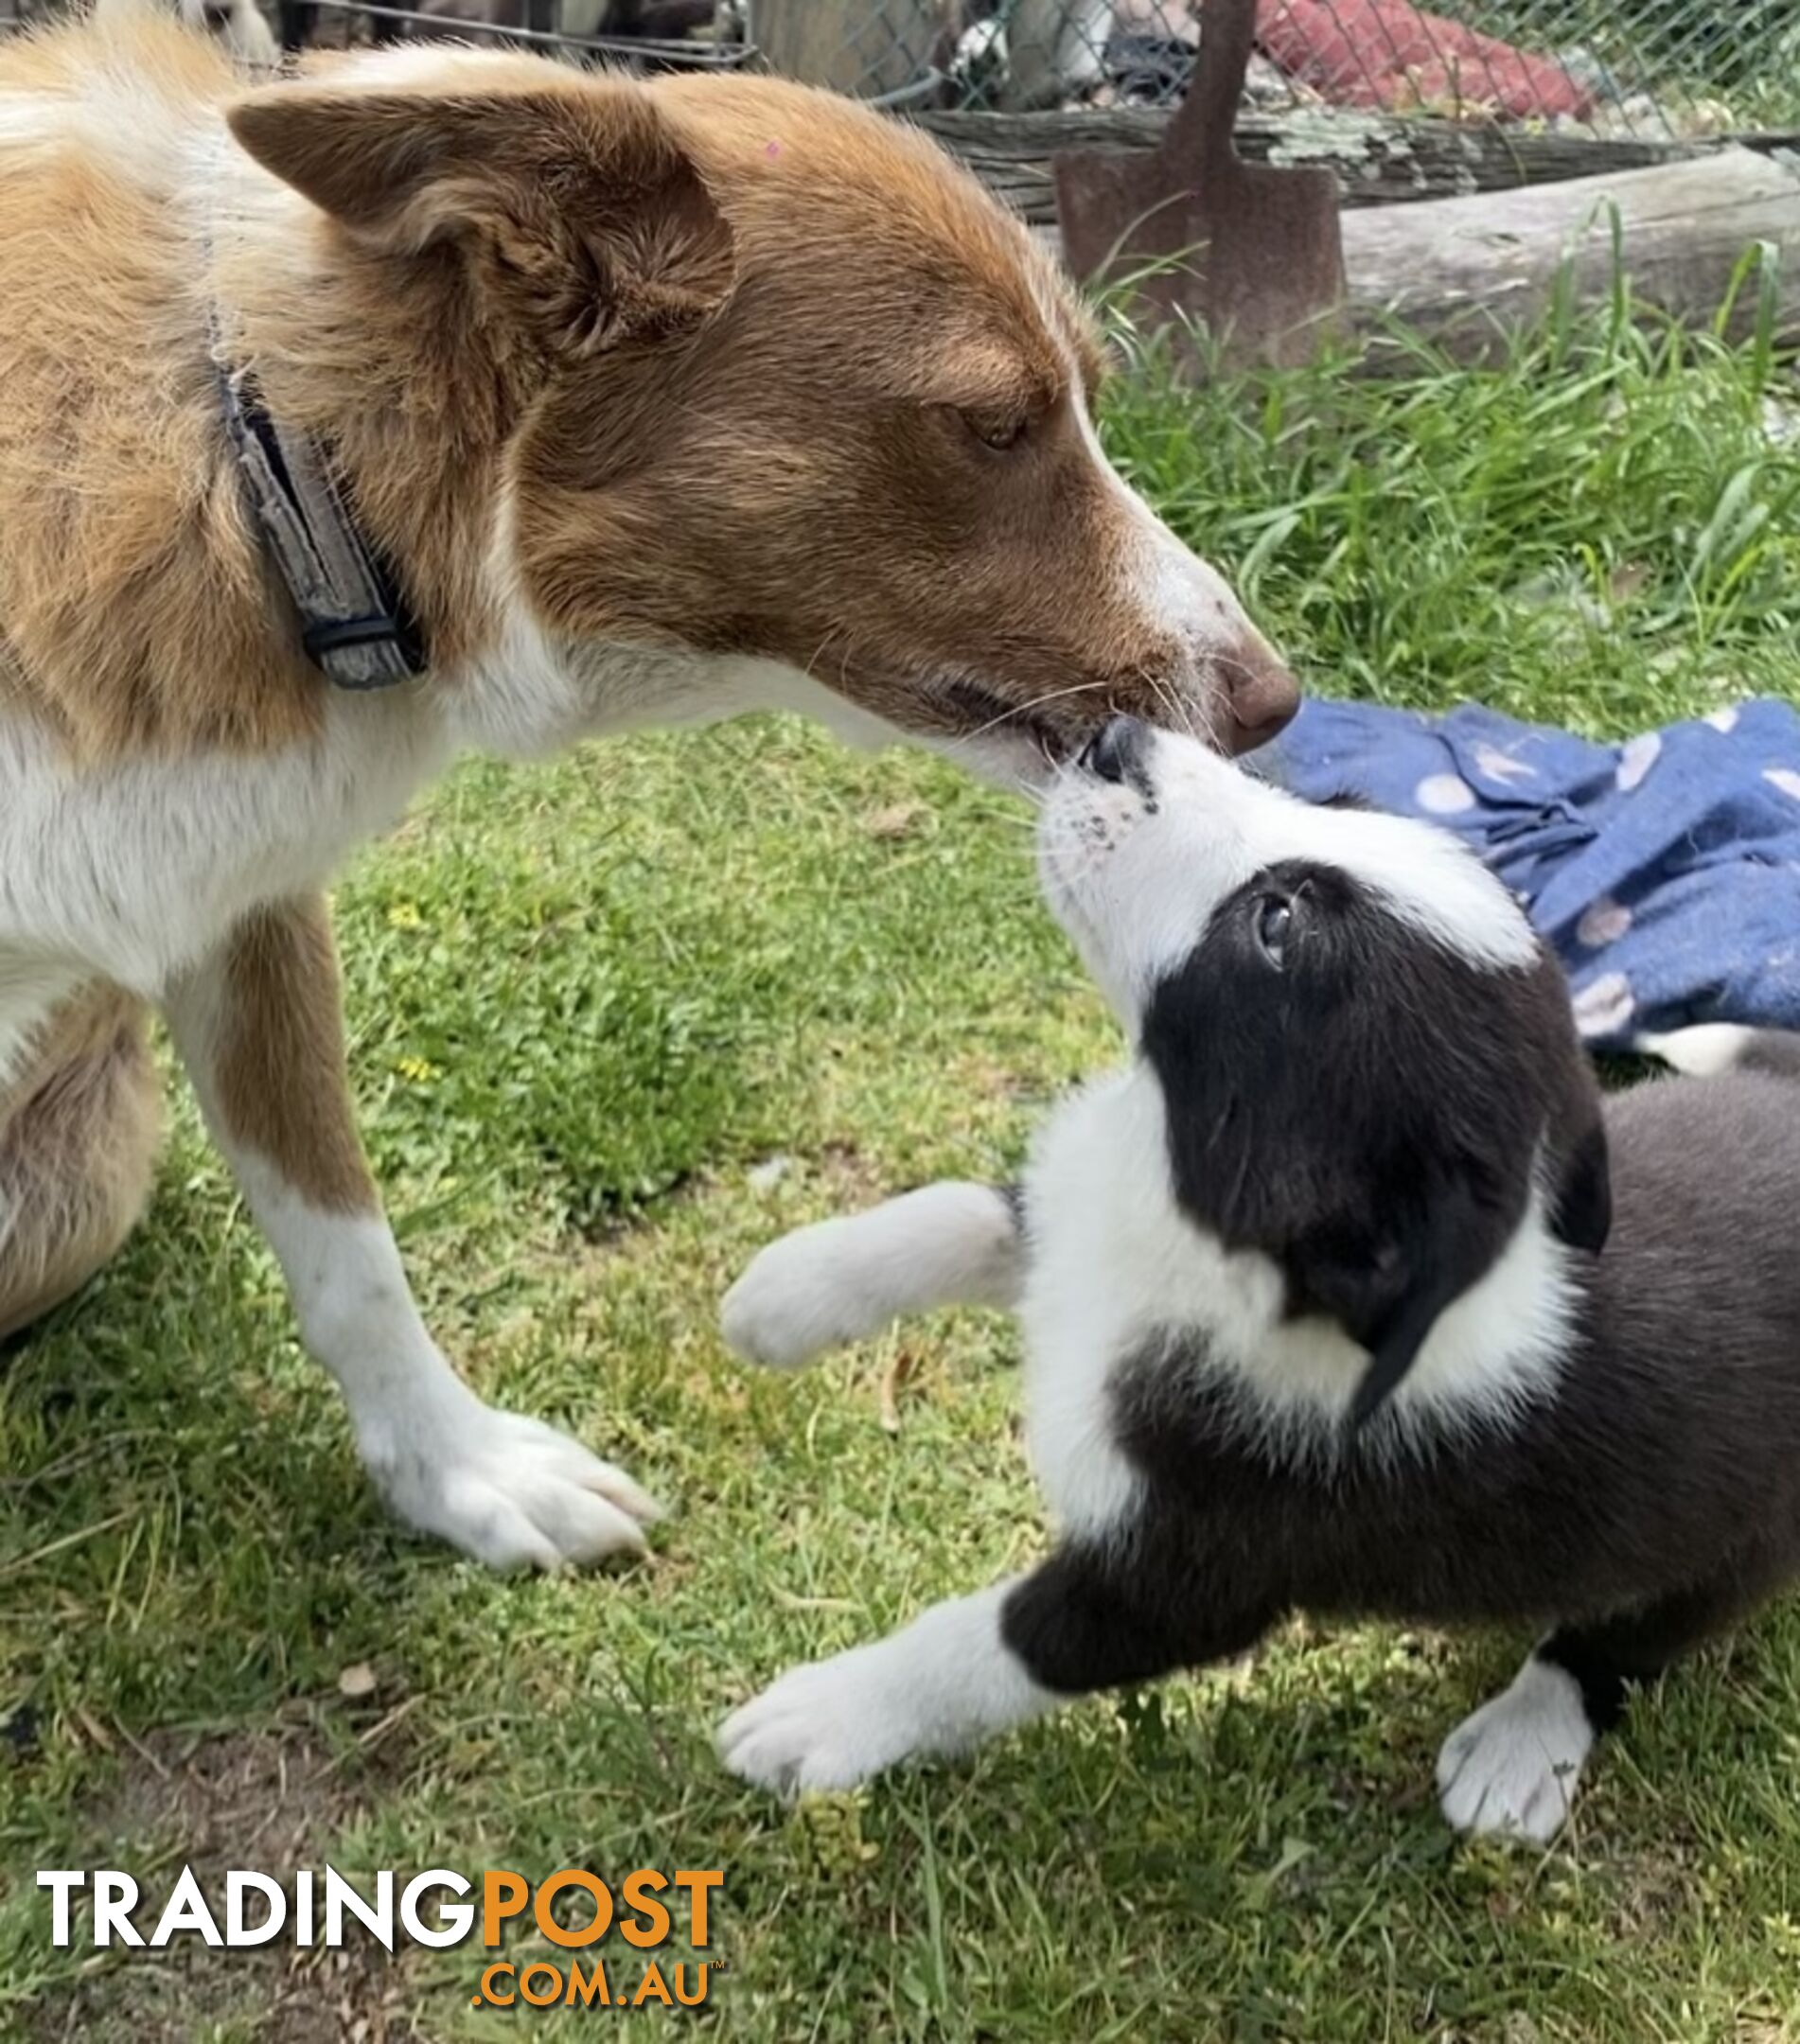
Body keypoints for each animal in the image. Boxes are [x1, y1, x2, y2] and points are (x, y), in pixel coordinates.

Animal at [0, 15, 1291, 1561]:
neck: (267, 464)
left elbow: (346, 1247)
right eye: (993, 425)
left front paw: (463, 1476)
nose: (1275, 702)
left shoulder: (246, 908)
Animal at [711, 723, 1797, 1856]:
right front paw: (782, 1295)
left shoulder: (1191, 1569)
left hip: (1735, 1533)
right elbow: (972, 1215)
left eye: (1276, 927)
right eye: (1349, 807)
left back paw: (1518, 1743)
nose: (1117, 739)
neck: (1189, 1219)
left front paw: (820, 1717)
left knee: (1619, 1644)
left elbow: (991, 1647)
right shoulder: (1084, 1223)